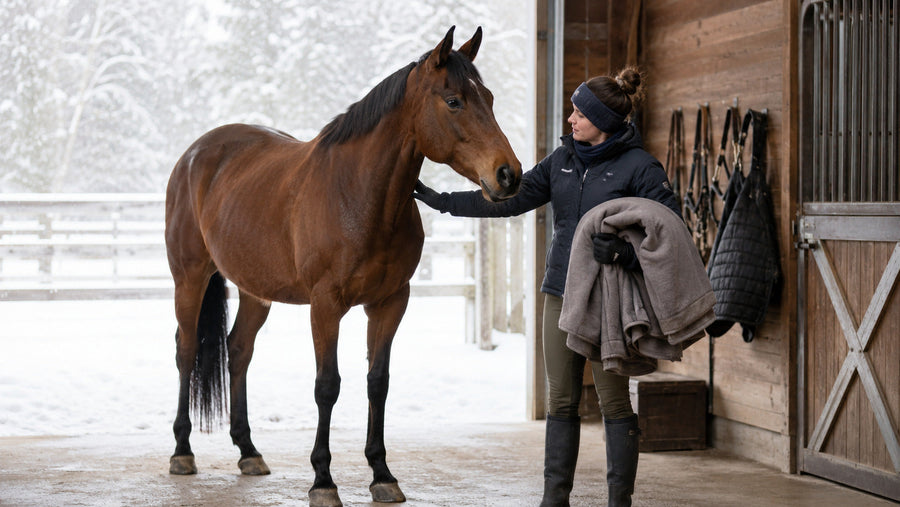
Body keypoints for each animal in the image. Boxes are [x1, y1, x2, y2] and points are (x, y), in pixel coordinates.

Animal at [164, 26, 521, 507]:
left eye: (490, 97)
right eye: (454, 101)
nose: (509, 174)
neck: (359, 195)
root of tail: (195, 154)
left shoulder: (390, 303)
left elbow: (377, 382)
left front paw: (382, 474)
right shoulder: (325, 306)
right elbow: (327, 385)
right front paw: (323, 480)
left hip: (256, 291)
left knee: (238, 350)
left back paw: (249, 451)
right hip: (190, 279)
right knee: (186, 351)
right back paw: (182, 451)